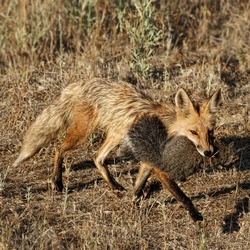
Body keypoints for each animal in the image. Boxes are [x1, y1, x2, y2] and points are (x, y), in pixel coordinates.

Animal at [13, 77, 221, 221]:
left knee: (97, 158)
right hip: (82, 135)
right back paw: (57, 182)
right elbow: (181, 195)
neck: (168, 127)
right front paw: (195, 215)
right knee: (58, 149)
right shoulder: (158, 165)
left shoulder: (149, 160)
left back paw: (114, 185)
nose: (208, 152)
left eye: (210, 132)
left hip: (115, 136)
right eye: (193, 132)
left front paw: (134, 202)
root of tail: (84, 82)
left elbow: (138, 185)